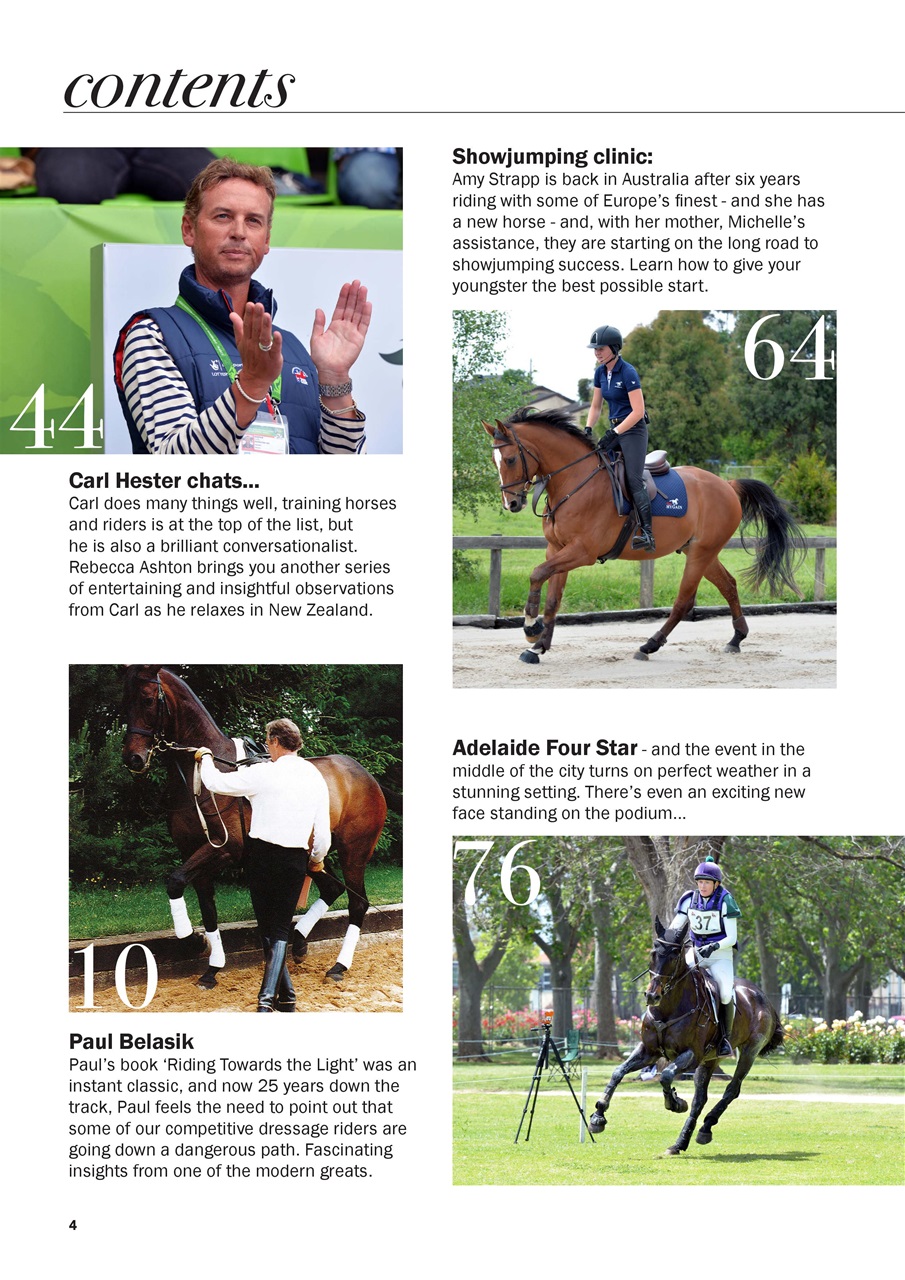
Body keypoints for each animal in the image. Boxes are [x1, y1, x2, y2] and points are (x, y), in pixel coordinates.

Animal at [121, 665, 387, 989]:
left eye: (148, 700)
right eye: (124, 701)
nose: (133, 758)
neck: (201, 778)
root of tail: (365, 775)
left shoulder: (225, 849)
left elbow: (174, 881)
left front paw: (195, 942)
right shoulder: (195, 852)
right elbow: (206, 909)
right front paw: (211, 967)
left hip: (354, 853)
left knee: (357, 904)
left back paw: (338, 966)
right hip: (314, 855)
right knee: (333, 887)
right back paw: (298, 942)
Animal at [483, 408, 807, 664]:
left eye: (509, 459)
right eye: (494, 461)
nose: (512, 504)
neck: (574, 481)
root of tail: (727, 484)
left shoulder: (582, 552)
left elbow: (537, 574)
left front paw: (530, 628)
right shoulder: (557, 549)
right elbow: (552, 598)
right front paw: (539, 647)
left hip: (701, 552)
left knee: (684, 600)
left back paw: (649, 645)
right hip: (699, 551)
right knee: (728, 585)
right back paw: (736, 638)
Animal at [589, 917, 783, 1155]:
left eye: (674, 956)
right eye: (653, 953)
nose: (652, 996)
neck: (669, 1008)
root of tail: (761, 995)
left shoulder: (692, 1054)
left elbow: (665, 1076)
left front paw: (675, 1102)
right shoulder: (648, 1051)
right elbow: (618, 1072)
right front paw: (598, 1116)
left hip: (748, 1052)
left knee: (732, 1089)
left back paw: (705, 1127)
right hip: (711, 1059)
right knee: (700, 1098)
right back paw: (682, 1141)